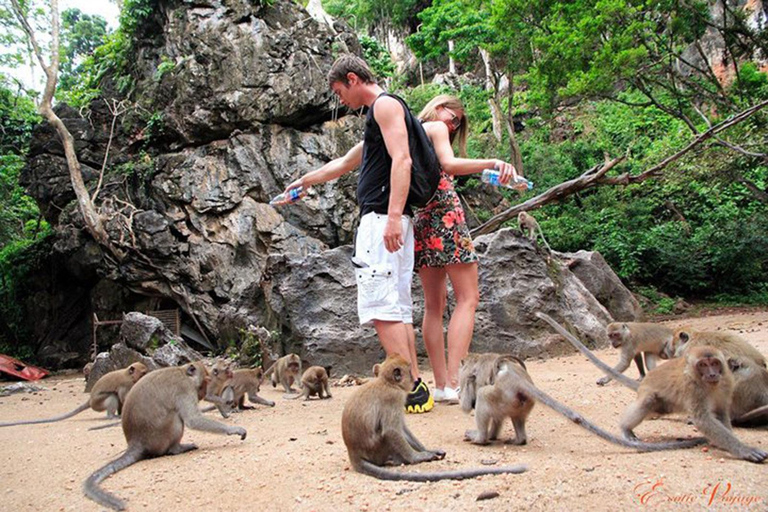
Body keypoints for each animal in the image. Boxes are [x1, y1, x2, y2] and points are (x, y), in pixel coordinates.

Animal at [0, 362, 148, 430]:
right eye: (143, 373)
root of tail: (90, 400)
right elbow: (123, 397)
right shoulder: (126, 384)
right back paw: (111, 416)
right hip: (98, 403)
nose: (147, 376)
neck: (129, 375)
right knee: (112, 396)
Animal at [81, 362, 244, 510]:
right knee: (176, 418)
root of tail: (135, 442)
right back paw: (177, 448)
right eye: (205, 382)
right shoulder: (184, 388)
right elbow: (192, 419)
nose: (203, 394)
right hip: (160, 438)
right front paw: (234, 429)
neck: (183, 372)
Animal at [342, 354, 528, 482]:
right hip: (379, 449)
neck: (387, 382)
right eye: (409, 371)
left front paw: (428, 450)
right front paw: (418, 457)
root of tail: (354, 454)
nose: (414, 378)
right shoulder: (393, 399)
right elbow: (391, 431)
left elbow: (402, 429)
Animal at [460, 352, 704, 452]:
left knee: (484, 396)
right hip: (520, 403)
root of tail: (518, 380)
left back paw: (481, 439)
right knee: (512, 417)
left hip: (504, 396)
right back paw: (517, 439)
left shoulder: (466, 375)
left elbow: (470, 391)